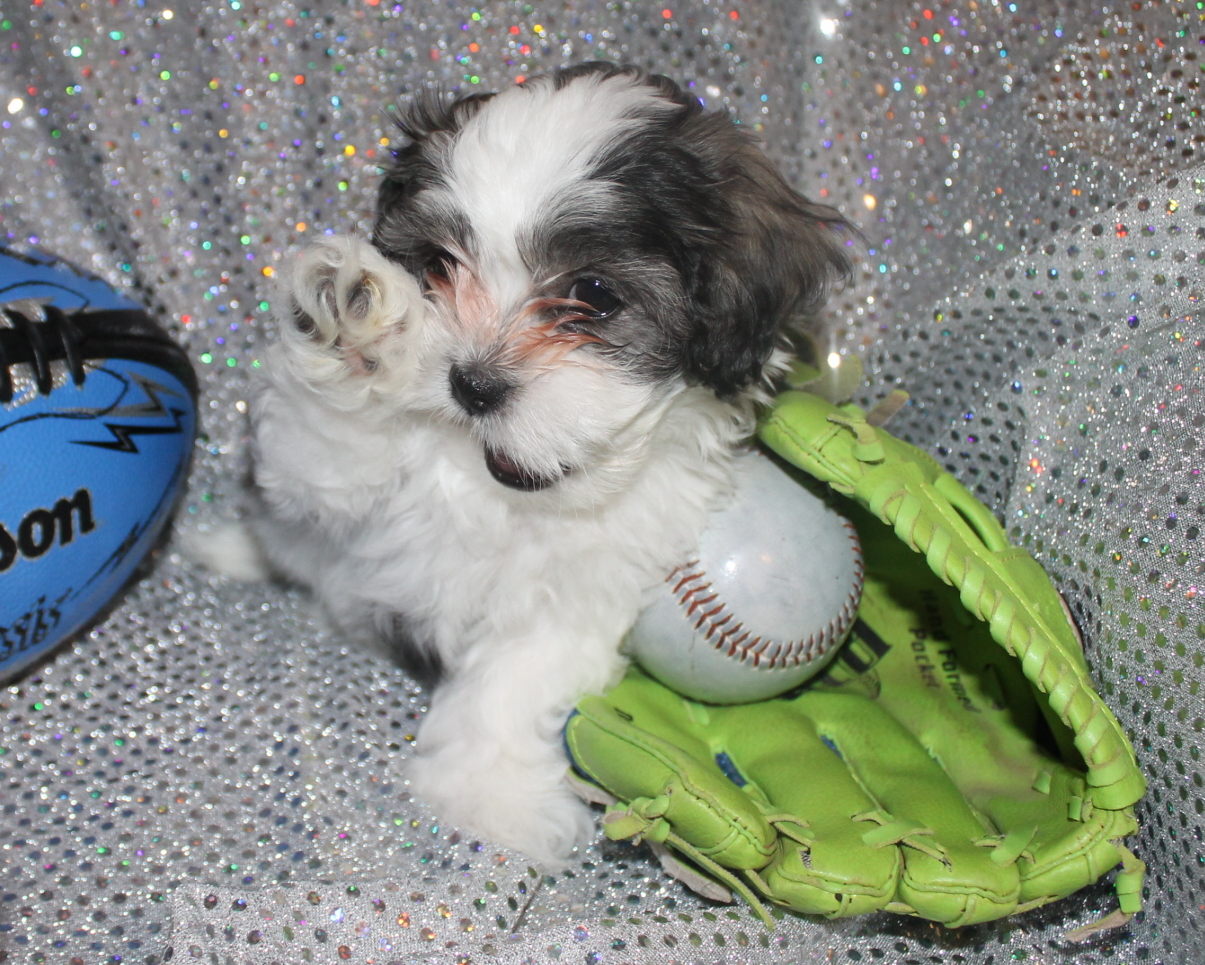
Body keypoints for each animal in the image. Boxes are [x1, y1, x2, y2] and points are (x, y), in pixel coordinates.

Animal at [244, 63, 853, 862]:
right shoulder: (320, 491)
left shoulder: (587, 587)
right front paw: (355, 331)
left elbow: (515, 675)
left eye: (592, 293)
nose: (472, 385)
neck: (506, 497)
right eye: (437, 266)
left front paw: (489, 795)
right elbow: (320, 450)